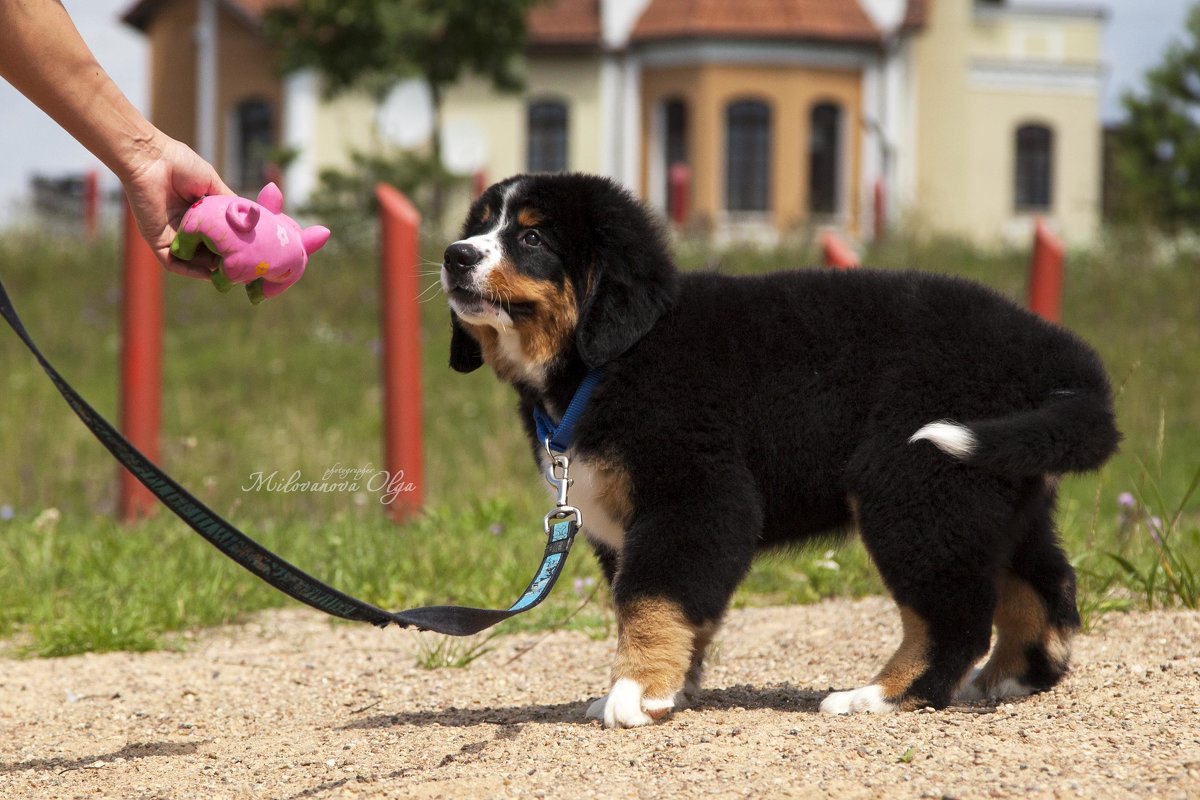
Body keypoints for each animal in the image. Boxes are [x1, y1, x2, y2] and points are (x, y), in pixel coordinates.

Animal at [439, 172, 1113, 729]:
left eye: (531, 238)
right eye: (478, 227)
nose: (454, 254)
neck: (610, 360)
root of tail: (1053, 353)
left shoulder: (694, 496)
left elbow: (651, 598)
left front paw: (635, 691)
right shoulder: (624, 522)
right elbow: (686, 605)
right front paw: (673, 687)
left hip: (918, 491)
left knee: (954, 617)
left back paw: (878, 696)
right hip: (998, 491)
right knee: (1045, 583)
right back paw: (1011, 678)